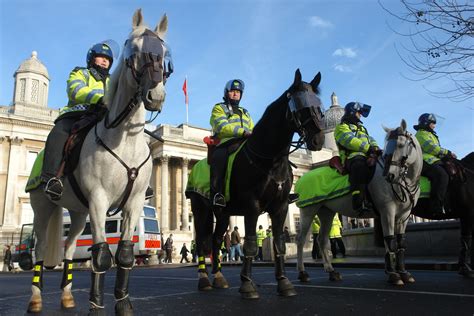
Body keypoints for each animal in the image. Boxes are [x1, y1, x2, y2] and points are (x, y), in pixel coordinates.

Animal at [26, 9, 170, 314]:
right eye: (133, 49)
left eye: (163, 53)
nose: (156, 95)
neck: (125, 139)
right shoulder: (99, 199)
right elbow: (102, 255)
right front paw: (96, 305)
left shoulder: (134, 202)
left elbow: (124, 253)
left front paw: (123, 303)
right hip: (42, 206)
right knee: (40, 250)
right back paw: (36, 299)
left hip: (78, 212)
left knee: (69, 247)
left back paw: (67, 297)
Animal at [185, 69, 326, 298]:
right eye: (299, 104)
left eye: (319, 105)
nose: (318, 140)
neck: (271, 160)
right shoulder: (252, 206)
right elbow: (250, 243)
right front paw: (247, 284)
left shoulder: (280, 207)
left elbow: (279, 244)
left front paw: (284, 282)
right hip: (200, 208)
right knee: (200, 242)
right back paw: (204, 279)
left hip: (222, 213)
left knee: (215, 240)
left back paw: (219, 277)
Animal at [296, 119, 422, 286]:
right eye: (387, 144)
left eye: (400, 144)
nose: (389, 175)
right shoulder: (387, 211)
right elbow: (390, 241)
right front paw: (394, 275)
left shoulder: (403, 216)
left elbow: (400, 243)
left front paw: (403, 273)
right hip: (308, 210)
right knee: (300, 240)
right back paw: (302, 273)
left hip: (326, 212)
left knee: (322, 240)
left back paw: (332, 271)